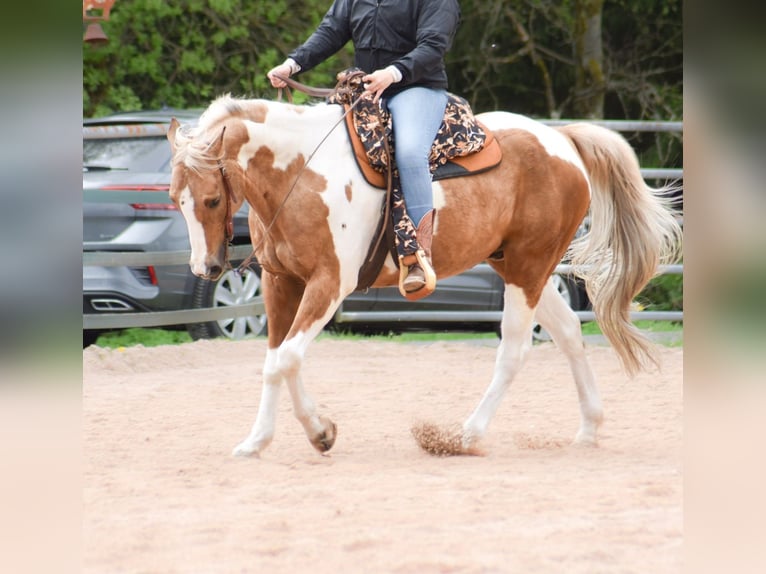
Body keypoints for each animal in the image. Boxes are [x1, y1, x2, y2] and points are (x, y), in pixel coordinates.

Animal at [168, 95, 684, 464]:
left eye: (212, 199)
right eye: (176, 198)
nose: (206, 269)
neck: (302, 172)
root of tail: (563, 141)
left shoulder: (329, 284)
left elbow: (285, 360)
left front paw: (312, 433)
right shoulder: (281, 284)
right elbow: (276, 361)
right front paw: (271, 438)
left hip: (529, 268)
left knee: (515, 350)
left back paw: (465, 436)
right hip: (521, 268)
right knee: (571, 333)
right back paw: (589, 428)